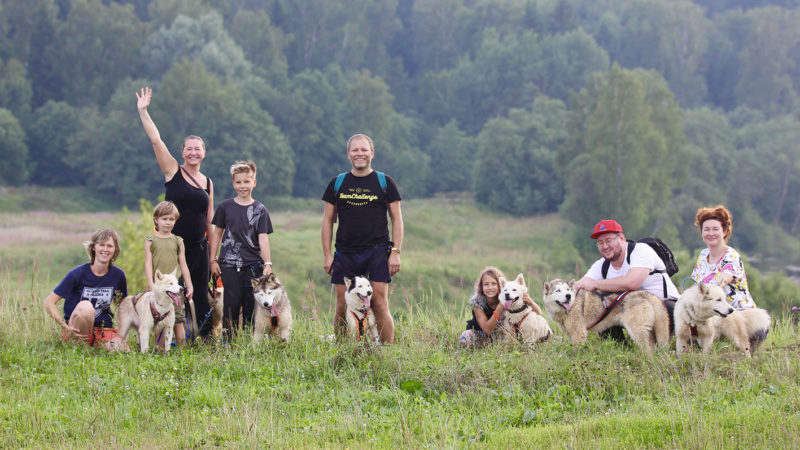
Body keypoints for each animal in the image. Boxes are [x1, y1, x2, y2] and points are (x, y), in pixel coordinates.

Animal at [540, 278, 672, 356]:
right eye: (558, 290)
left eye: (567, 290)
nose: (568, 296)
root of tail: (645, 294)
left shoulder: (579, 332)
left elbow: (576, 349)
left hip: (636, 331)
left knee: (647, 349)